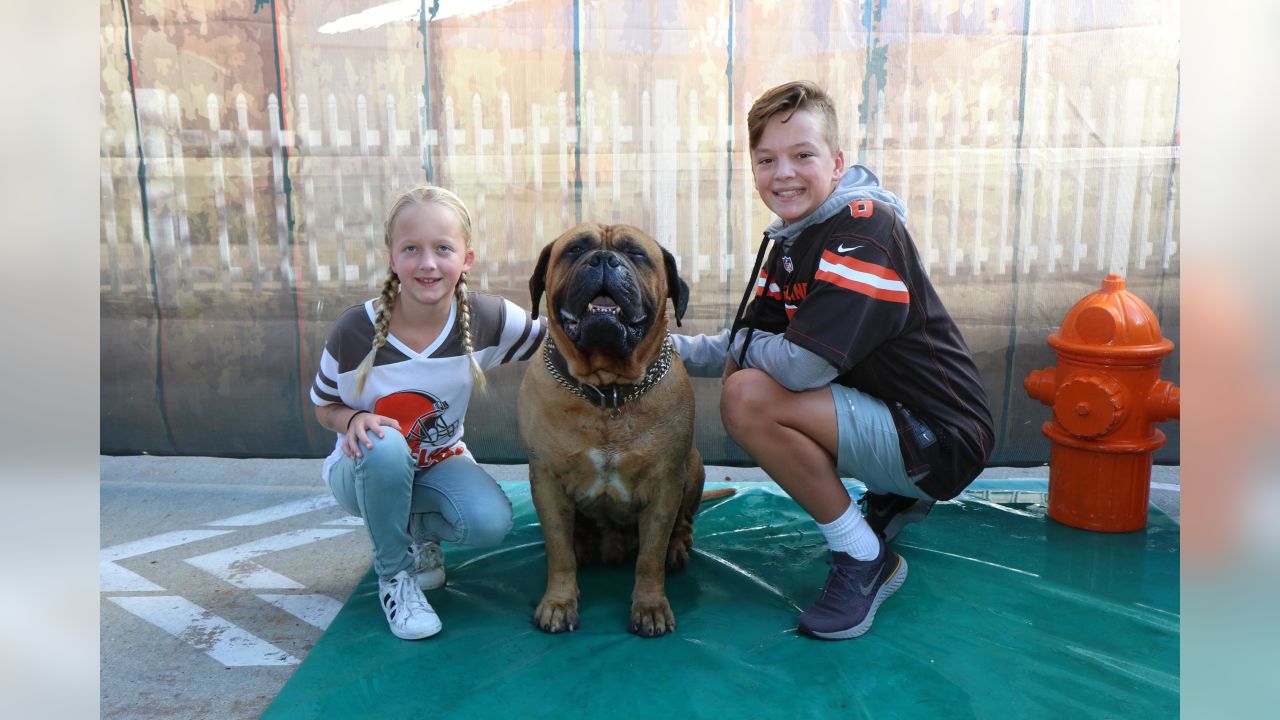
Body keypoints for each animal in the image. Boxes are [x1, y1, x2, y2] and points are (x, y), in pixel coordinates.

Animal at [517, 222, 721, 632]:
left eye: (636, 253)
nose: (603, 259)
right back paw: (582, 542)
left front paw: (650, 607)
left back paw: (677, 548)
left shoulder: (665, 484)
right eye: (575, 249)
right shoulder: (546, 480)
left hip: (693, 467)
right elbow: (558, 551)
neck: (608, 390)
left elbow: (650, 557)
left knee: (683, 524)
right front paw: (559, 603)